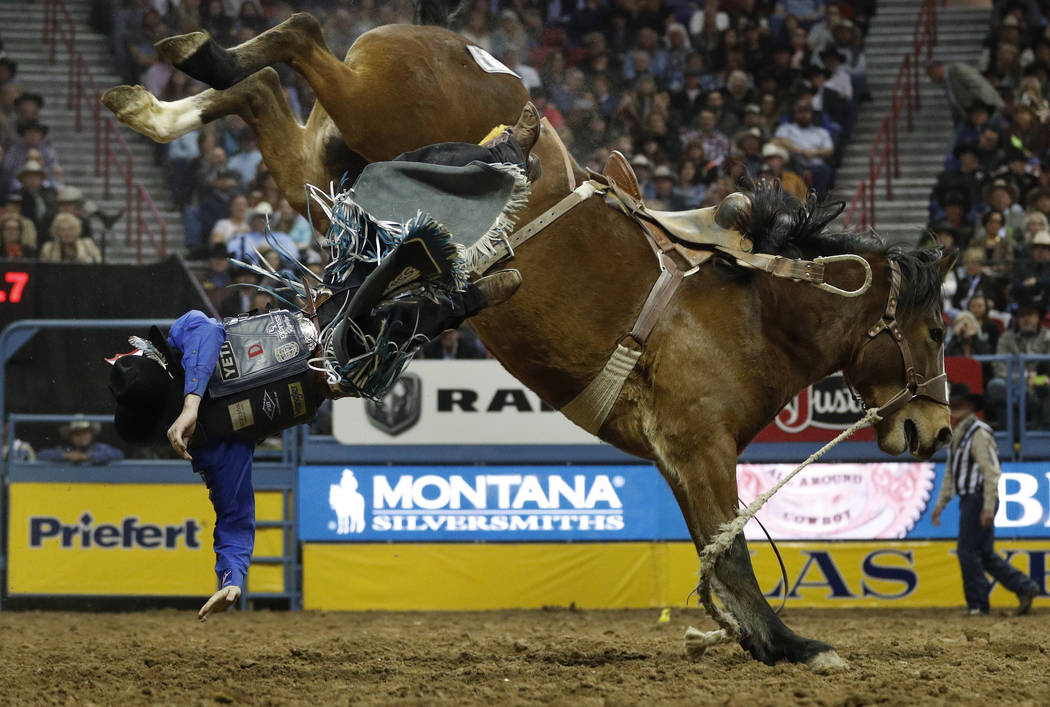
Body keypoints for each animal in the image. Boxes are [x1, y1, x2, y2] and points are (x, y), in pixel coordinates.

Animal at [102, 1, 957, 668]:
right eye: (937, 326)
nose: (938, 428)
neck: (748, 311)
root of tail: (458, 47)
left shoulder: (677, 456)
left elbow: (713, 555)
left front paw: (752, 635)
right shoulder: (700, 445)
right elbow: (736, 549)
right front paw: (792, 643)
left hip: (330, 164)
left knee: (262, 92)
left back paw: (157, 104)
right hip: (370, 112)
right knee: (302, 38)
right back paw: (197, 56)